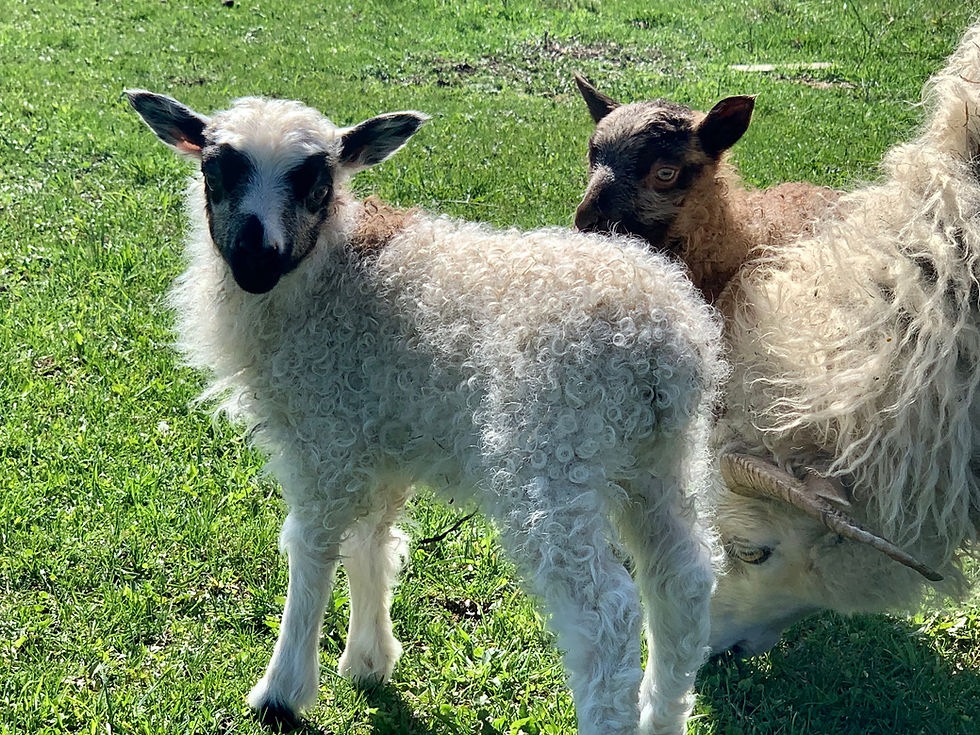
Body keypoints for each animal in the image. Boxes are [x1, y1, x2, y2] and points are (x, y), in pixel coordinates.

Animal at [127, 89, 728, 735]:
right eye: (216, 173)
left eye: (317, 184)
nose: (254, 260)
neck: (331, 273)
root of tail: (657, 341)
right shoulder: (378, 433)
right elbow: (371, 542)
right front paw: (367, 661)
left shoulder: (324, 441)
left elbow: (312, 548)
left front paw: (283, 692)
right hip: (660, 456)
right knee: (683, 581)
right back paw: (663, 715)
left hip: (552, 454)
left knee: (605, 613)